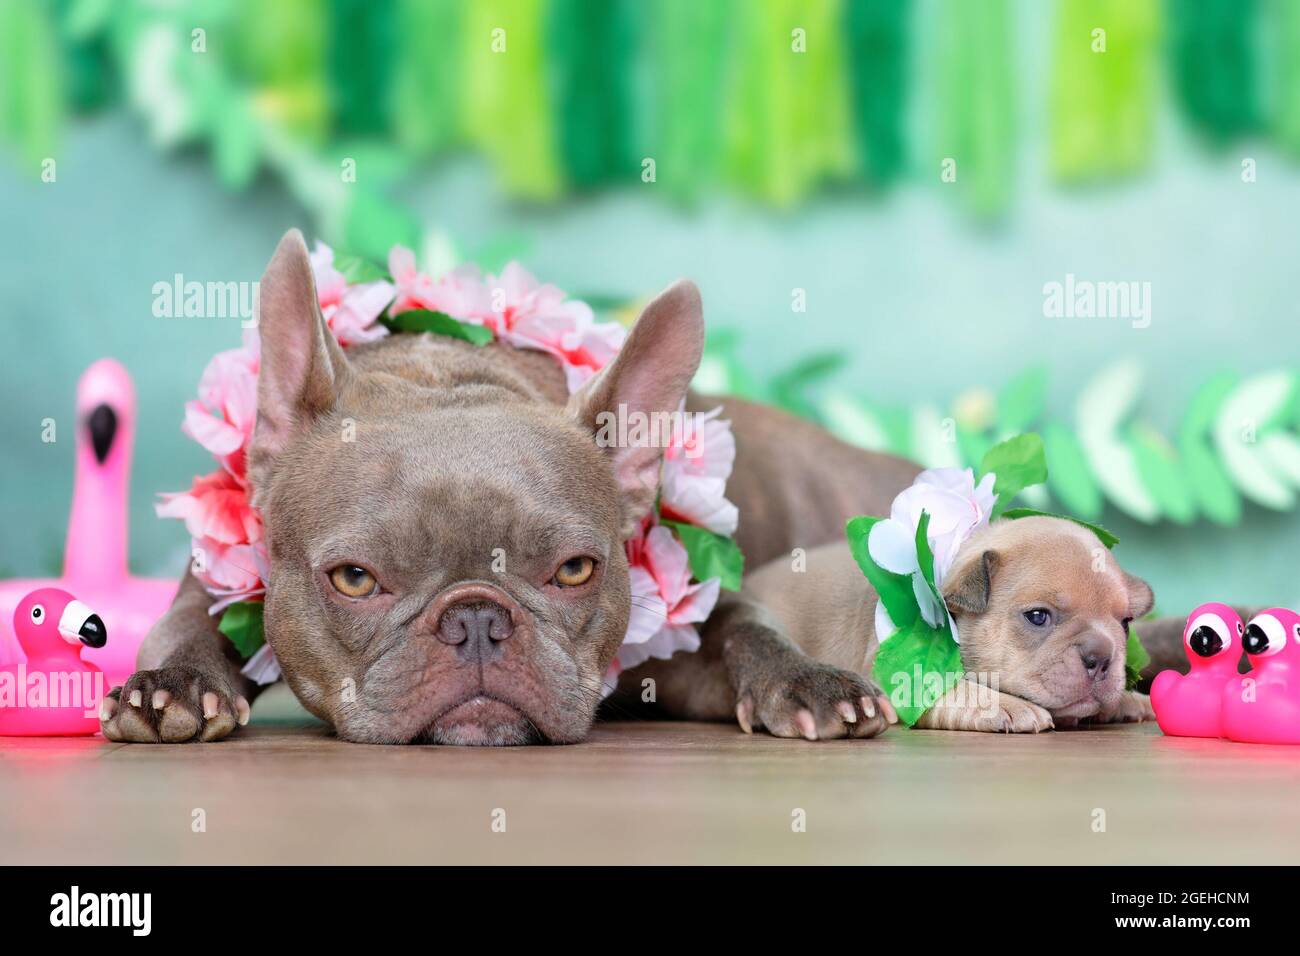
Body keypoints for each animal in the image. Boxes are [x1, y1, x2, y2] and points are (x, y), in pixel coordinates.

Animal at [101, 231, 920, 749]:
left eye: (575, 571)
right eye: (354, 580)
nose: (476, 619)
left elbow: (747, 627)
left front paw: (806, 680)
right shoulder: (211, 584)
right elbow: (183, 626)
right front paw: (175, 684)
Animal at [743, 515, 1159, 733]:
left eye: (1125, 623)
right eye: (1038, 617)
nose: (1102, 657)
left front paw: (1128, 699)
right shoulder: (899, 677)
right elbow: (953, 686)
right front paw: (1004, 704)